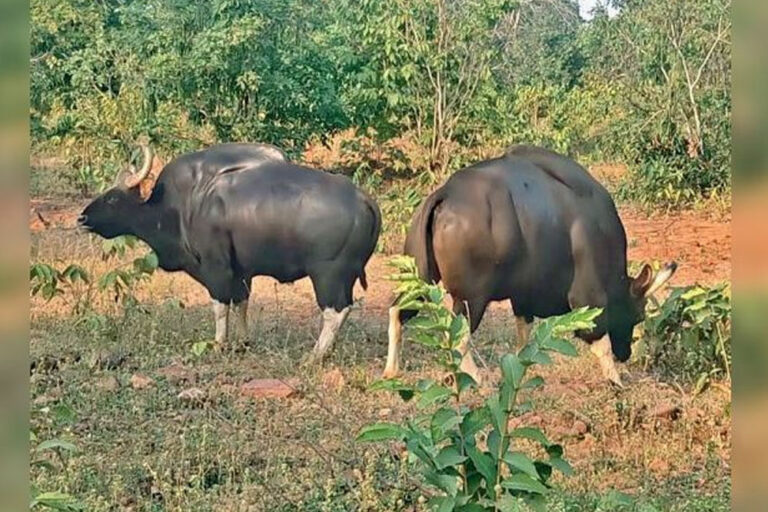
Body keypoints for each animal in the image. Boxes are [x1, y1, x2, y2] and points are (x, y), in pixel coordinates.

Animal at [79, 141, 380, 360]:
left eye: (113, 198)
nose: (82, 218)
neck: (180, 208)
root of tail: (364, 199)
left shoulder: (217, 267)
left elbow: (220, 305)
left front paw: (219, 343)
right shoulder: (242, 272)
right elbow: (241, 303)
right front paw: (243, 341)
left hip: (328, 274)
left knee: (334, 311)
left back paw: (315, 355)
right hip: (344, 276)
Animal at [380, 144, 676, 384]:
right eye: (638, 316)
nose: (625, 353)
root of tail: (444, 194)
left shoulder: (523, 297)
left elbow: (523, 338)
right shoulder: (587, 296)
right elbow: (598, 339)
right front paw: (615, 380)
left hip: (419, 276)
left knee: (398, 310)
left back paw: (392, 370)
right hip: (471, 299)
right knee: (459, 336)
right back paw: (473, 377)